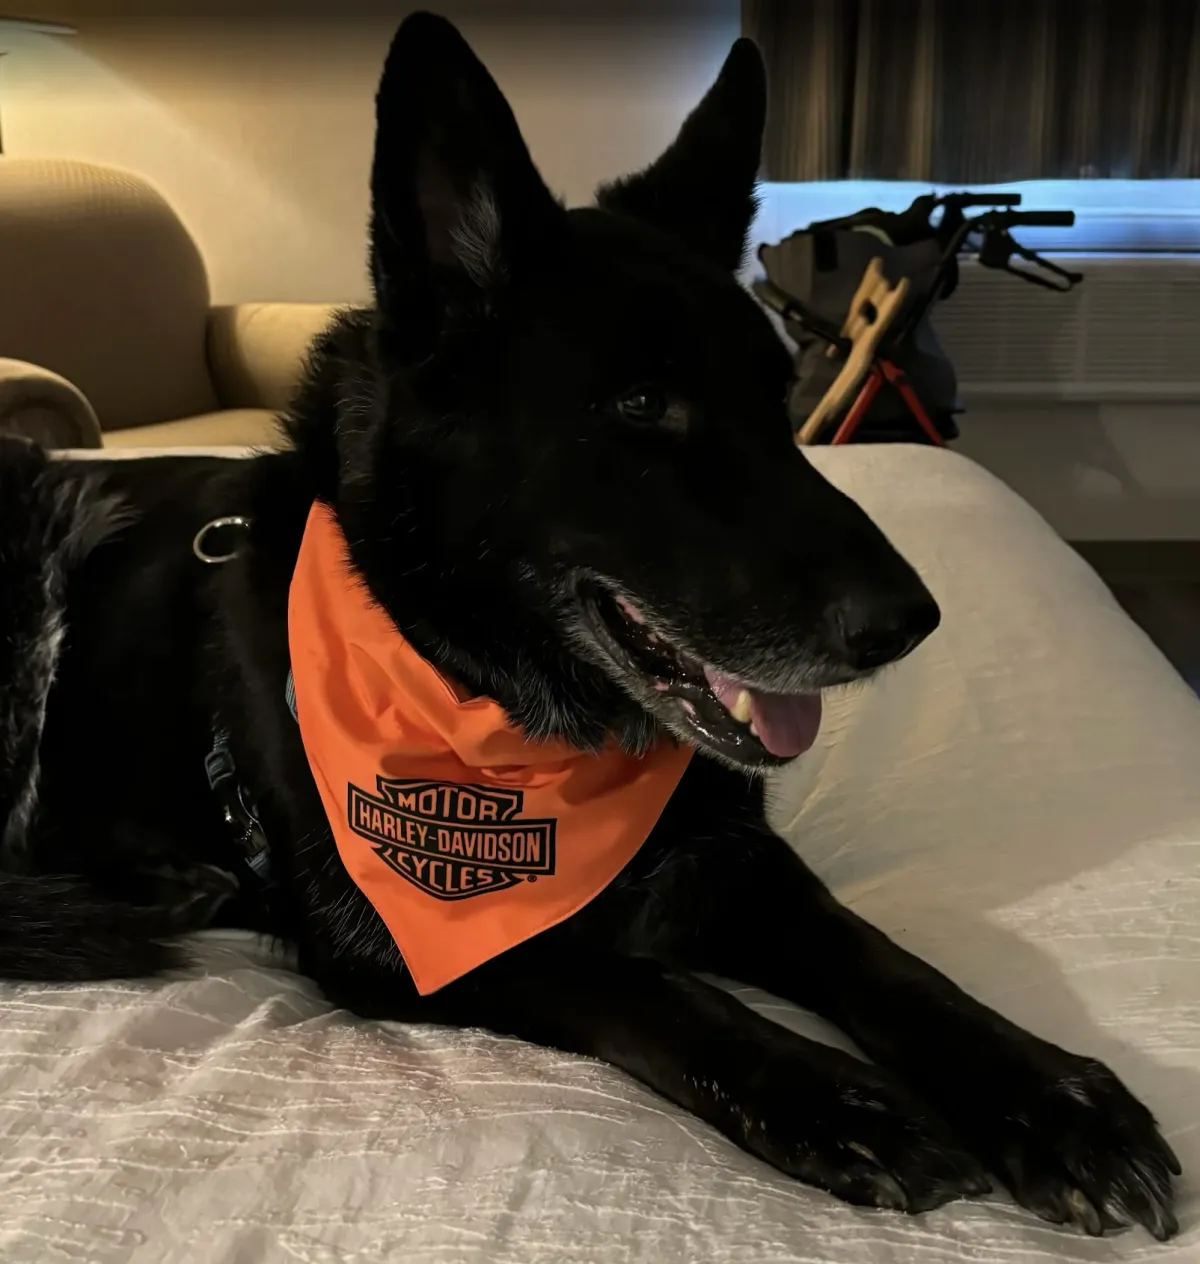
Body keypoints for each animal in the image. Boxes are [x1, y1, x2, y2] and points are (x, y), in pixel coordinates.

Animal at [0, 12, 1179, 1240]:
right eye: (641, 407)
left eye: (778, 397)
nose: (913, 622)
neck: (495, 700)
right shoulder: (413, 945)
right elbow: (653, 986)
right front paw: (838, 1098)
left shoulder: (737, 855)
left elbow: (885, 958)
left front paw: (1052, 1093)